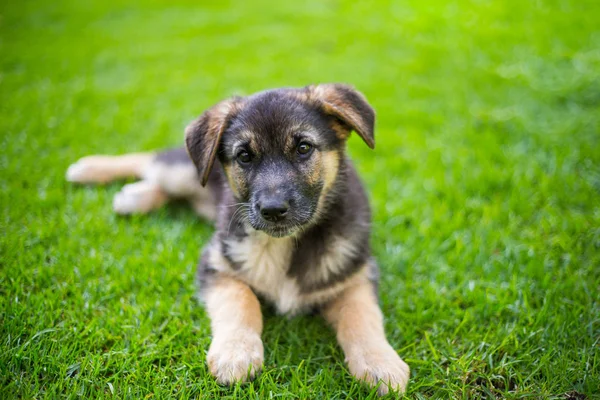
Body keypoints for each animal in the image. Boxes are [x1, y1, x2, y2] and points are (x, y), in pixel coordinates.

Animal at [67, 83, 412, 396]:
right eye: (244, 156)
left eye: (303, 148)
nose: (273, 210)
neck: (285, 245)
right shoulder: (217, 263)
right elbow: (241, 300)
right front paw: (236, 353)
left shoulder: (355, 276)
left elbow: (362, 316)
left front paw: (380, 362)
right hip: (185, 173)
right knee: (153, 160)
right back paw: (92, 170)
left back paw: (134, 194)